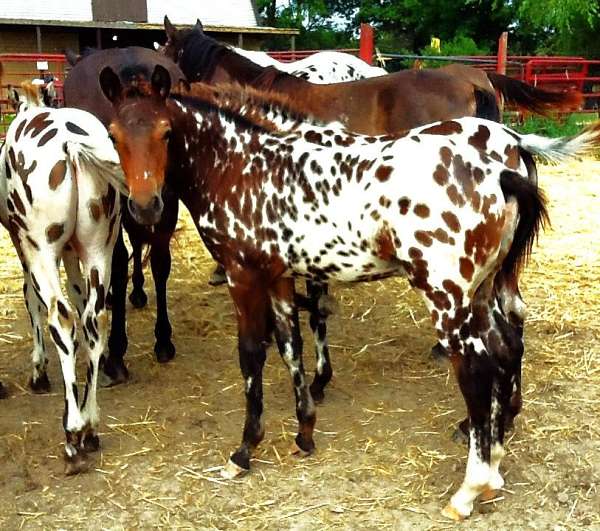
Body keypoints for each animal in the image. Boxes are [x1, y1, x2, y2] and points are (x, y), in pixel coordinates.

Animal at [0, 97, 125, 476]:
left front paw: (38, 371)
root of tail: (70, 143)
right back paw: (91, 426)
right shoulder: (72, 252)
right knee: (94, 319)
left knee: (63, 318)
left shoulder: (25, 247)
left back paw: (73, 434)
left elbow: (31, 299)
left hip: (42, 250)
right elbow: (79, 294)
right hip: (99, 248)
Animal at [99, 65, 600, 520]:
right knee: (504, 345)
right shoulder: (280, 275)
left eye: (166, 133)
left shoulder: (244, 275)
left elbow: (252, 355)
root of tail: (502, 164)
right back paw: (494, 466)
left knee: (476, 368)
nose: (145, 208)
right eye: (114, 135)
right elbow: (291, 344)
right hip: (484, 287)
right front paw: (304, 433)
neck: (240, 165)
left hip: (447, 295)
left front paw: (244, 451)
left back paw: (469, 490)